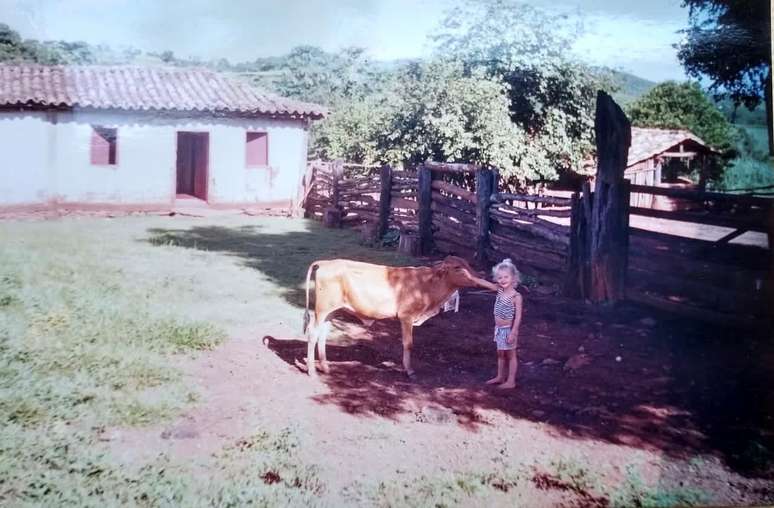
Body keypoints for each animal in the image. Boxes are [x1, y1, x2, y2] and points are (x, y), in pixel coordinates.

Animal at [304, 254, 498, 378]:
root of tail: (325, 263)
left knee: (322, 335)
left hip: (331, 311)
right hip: (322, 309)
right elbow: (408, 344)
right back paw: (312, 371)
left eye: (468, 264)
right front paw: (409, 371)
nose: (480, 275)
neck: (428, 286)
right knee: (313, 334)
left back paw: (325, 367)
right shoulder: (406, 317)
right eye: (458, 267)